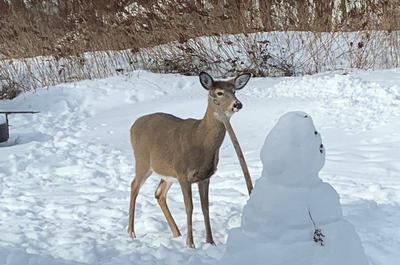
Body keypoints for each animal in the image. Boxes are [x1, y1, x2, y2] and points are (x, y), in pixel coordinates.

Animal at [128, 70, 252, 248]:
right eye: (219, 93)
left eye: (234, 91)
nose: (237, 104)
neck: (200, 141)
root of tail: (133, 125)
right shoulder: (183, 174)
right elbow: (189, 207)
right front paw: (190, 244)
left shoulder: (205, 177)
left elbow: (205, 208)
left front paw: (210, 242)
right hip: (142, 160)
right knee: (134, 187)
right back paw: (131, 232)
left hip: (167, 172)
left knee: (159, 193)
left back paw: (176, 233)